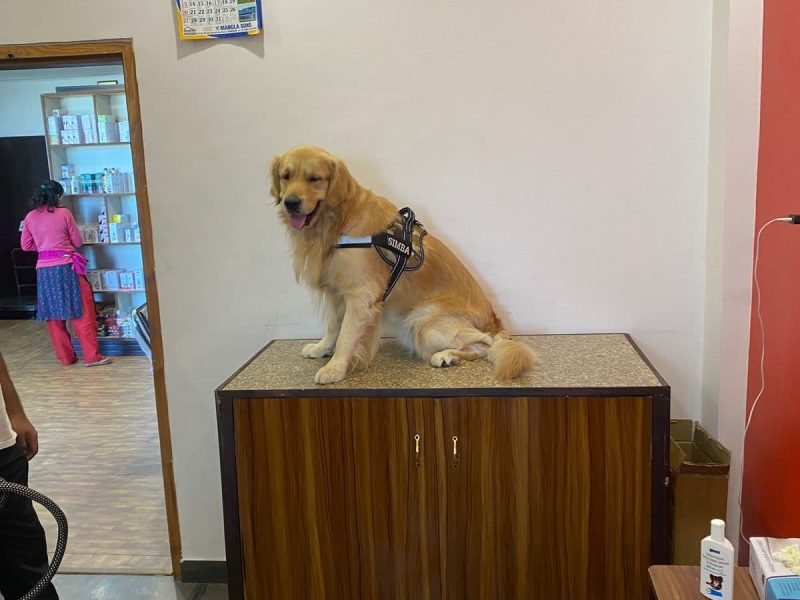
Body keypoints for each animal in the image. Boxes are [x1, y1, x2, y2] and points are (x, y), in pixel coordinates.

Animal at [270, 145, 536, 384]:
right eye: (286, 176)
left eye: (314, 178)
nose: (290, 202)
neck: (339, 220)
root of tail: (494, 321)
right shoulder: (336, 291)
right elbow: (333, 326)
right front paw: (321, 348)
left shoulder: (361, 296)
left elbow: (346, 334)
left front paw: (334, 368)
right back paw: (449, 357)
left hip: (423, 324)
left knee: (488, 343)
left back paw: (447, 355)